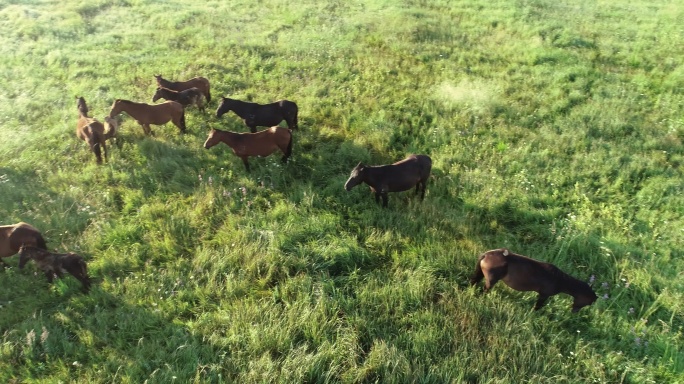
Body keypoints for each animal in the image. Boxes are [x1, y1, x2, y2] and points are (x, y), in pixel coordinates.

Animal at [470, 249, 600, 312]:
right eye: (590, 302)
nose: (574, 311)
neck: (560, 280)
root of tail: (486, 254)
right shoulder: (544, 295)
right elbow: (538, 306)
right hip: (491, 281)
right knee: (484, 290)